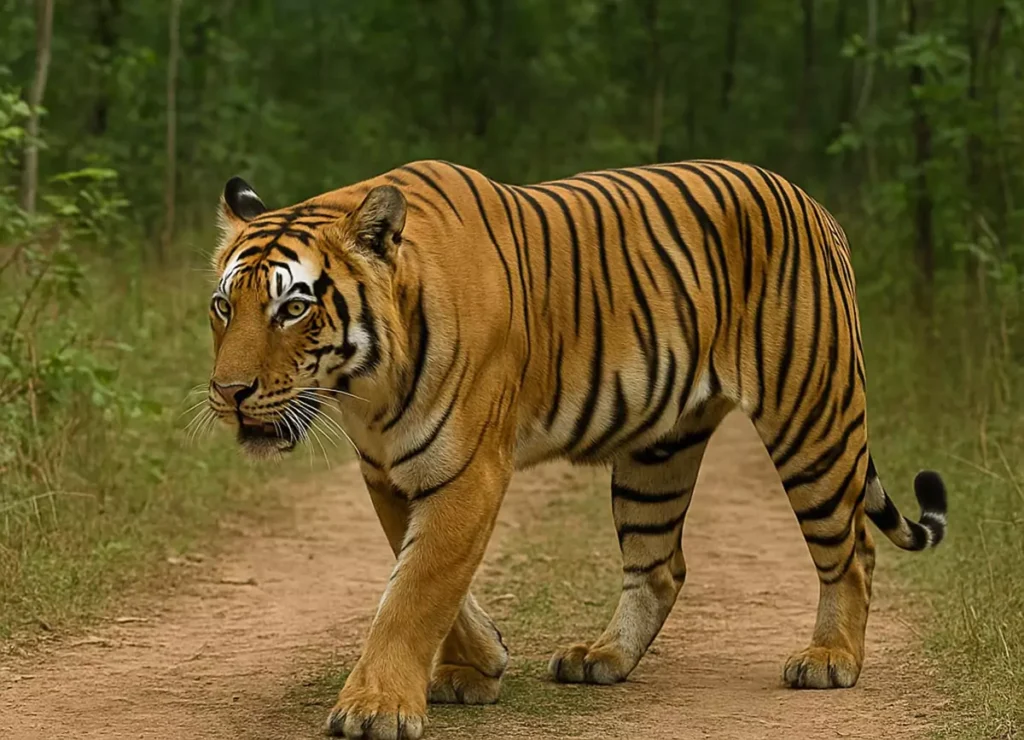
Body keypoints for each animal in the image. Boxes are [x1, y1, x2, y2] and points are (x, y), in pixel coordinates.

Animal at [205, 159, 947, 740]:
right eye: (223, 307)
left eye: (293, 309)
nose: (228, 392)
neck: (366, 387)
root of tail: (811, 202)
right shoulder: (389, 473)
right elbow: (422, 574)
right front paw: (478, 662)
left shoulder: (467, 470)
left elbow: (416, 590)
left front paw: (376, 706)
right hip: (658, 453)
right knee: (660, 565)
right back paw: (603, 657)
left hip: (811, 419)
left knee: (853, 550)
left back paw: (830, 659)